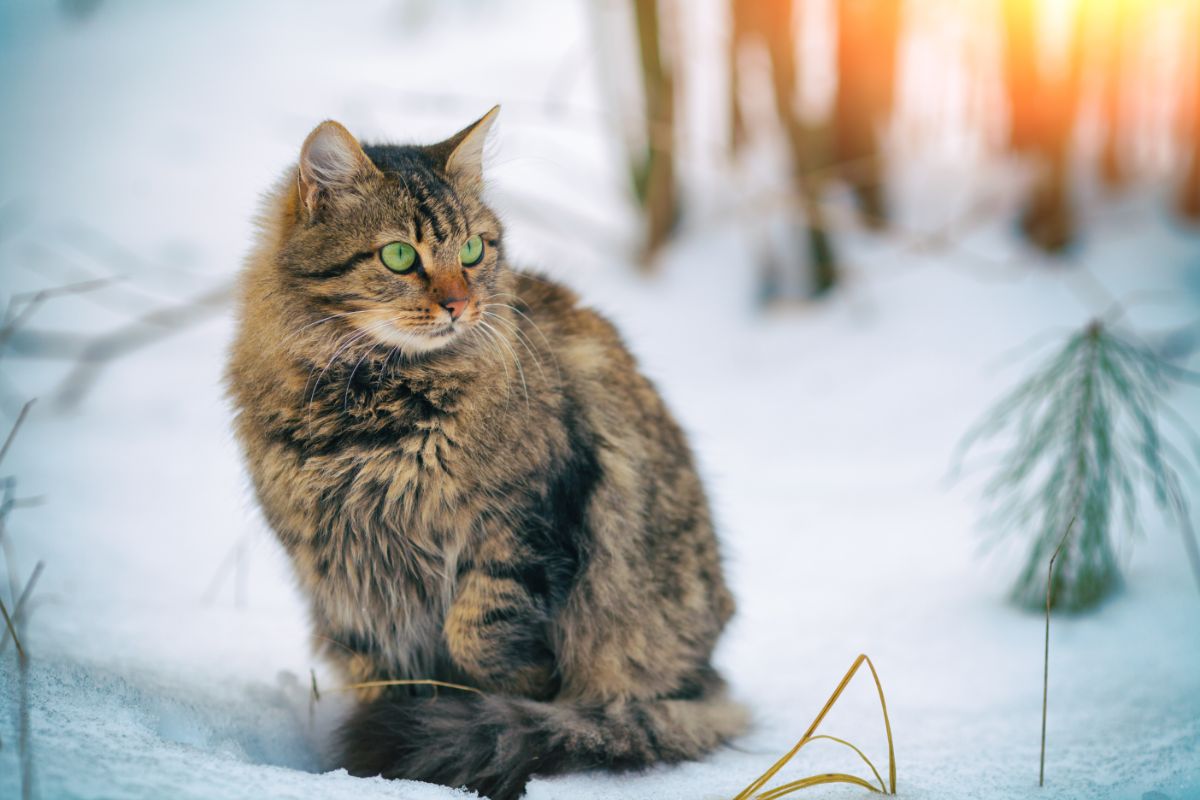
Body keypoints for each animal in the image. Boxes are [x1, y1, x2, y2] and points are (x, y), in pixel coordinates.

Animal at [228, 107, 744, 800]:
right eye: (399, 255)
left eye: (473, 250)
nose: (459, 304)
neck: (373, 412)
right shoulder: (347, 580)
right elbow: (383, 678)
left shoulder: (525, 523)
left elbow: (479, 635)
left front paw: (496, 707)